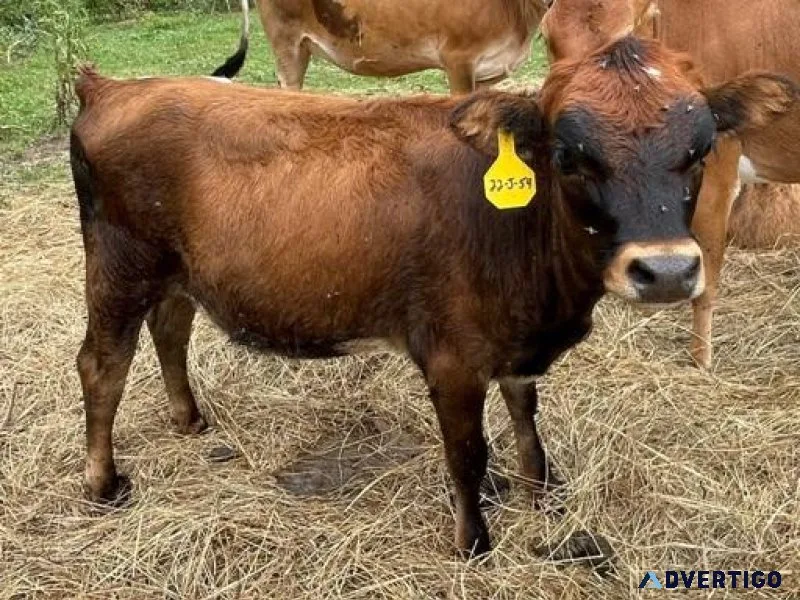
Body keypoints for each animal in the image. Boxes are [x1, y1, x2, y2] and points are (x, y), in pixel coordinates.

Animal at [70, 39, 795, 556]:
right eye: (569, 156)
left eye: (701, 150)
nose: (666, 270)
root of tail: (115, 87)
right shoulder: (452, 358)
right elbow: (467, 454)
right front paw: (473, 542)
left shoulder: (514, 344)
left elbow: (526, 419)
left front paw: (540, 492)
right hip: (119, 265)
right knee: (102, 366)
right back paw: (102, 484)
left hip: (175, 272)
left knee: (170, 330)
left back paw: (189, 419)